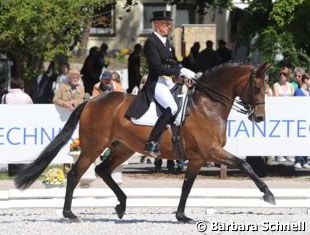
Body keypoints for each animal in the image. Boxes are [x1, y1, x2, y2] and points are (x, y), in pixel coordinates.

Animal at [15, 62, 274, 224]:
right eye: (257, 87)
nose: (260, 118)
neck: (208, 105)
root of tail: (90, 101)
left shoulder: (198, 158)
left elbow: (187, 186)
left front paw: (182, 216)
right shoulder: (212, 151)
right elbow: (244, 164)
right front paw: (268, 194)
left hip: (124, 148)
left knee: (103, 170)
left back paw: (121, 205)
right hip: (93, 147)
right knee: (76, 174)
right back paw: (70, 214)